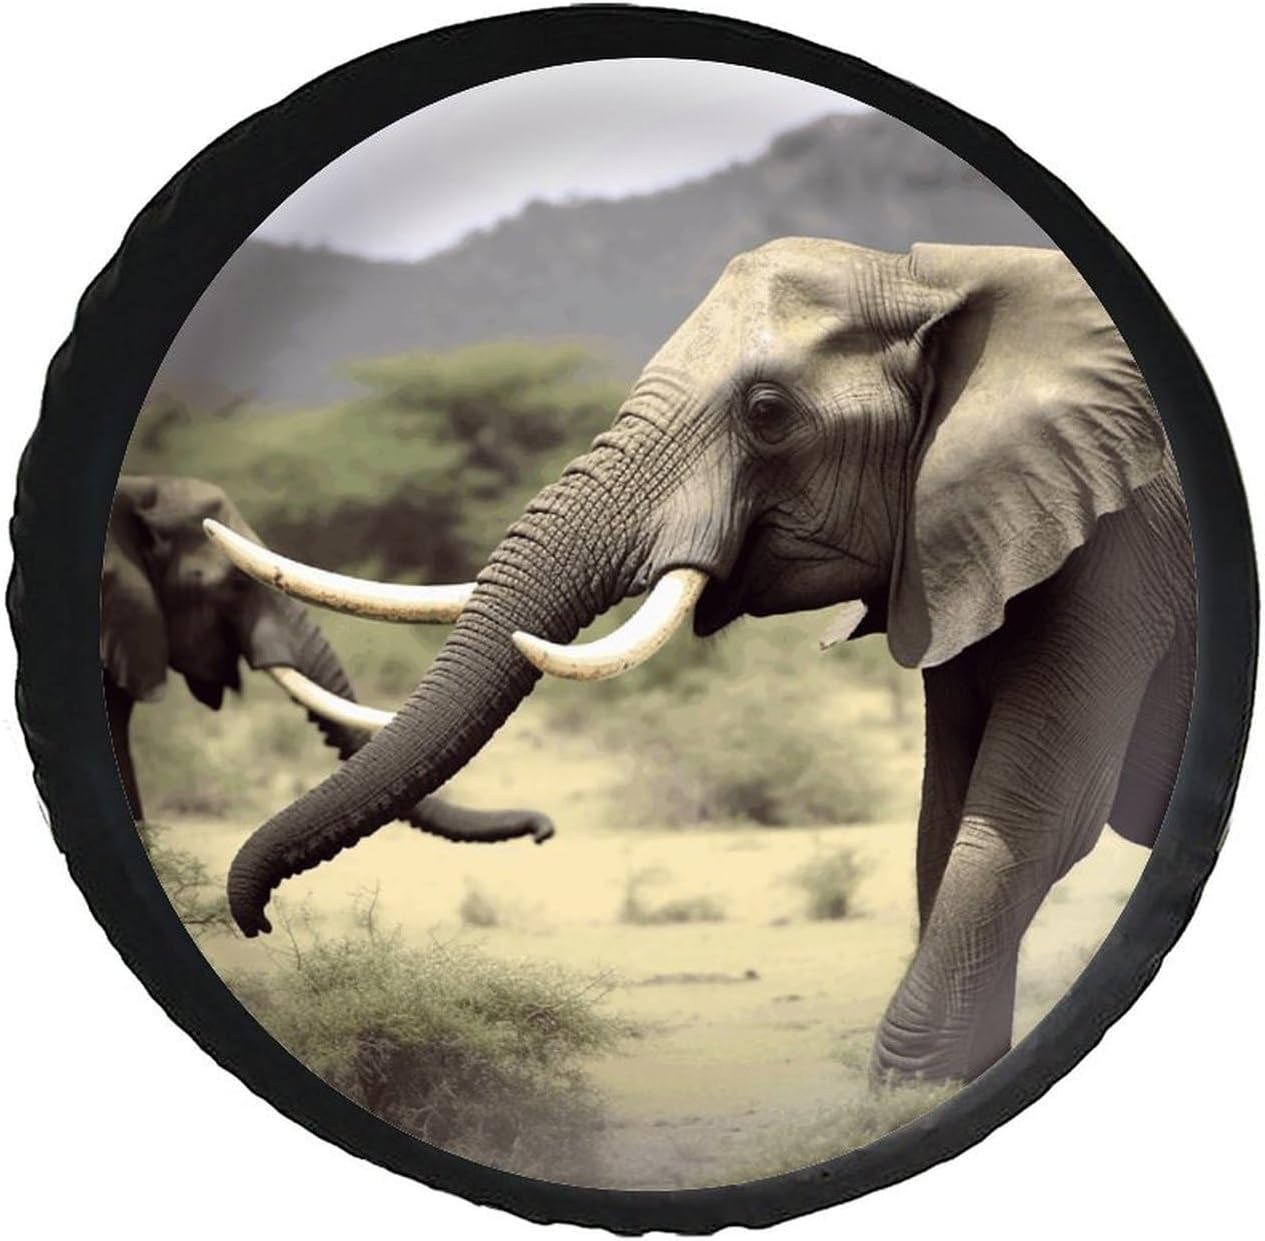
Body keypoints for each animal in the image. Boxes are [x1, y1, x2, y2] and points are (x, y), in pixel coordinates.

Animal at [212, 238, 1195, 1084]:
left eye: (766, 413)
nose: (256, 923)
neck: (937, 279)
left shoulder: (1119, 548)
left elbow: (1031, 818)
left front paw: (905, 1086)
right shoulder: (957, 544)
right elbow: (948, 810)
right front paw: (948, 1077)